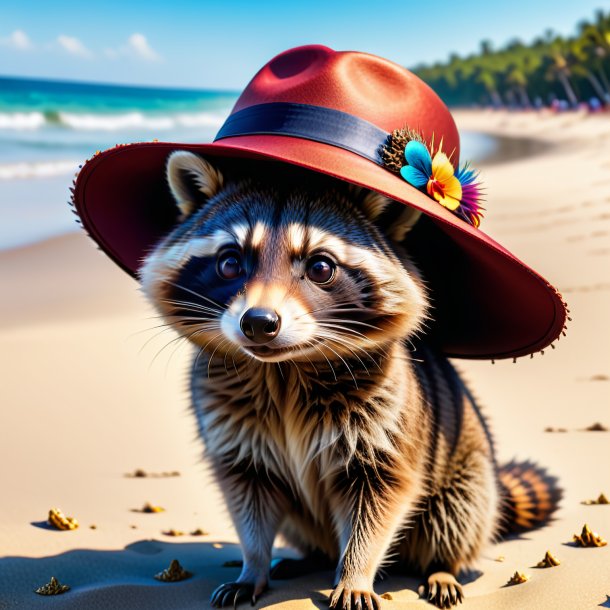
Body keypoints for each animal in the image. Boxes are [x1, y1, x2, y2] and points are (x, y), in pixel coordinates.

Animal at [138, 150, 556, 604]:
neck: (284, 369)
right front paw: (253, 564)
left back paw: (443, 566)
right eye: (230, 263)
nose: (259, 323)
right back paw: (309, 558)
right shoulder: (229, 423)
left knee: (458, 516)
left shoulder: (388, 415)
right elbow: (249, 497)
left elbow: (378, 501)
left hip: (467, 470)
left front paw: (356, 572)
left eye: (320, 267)